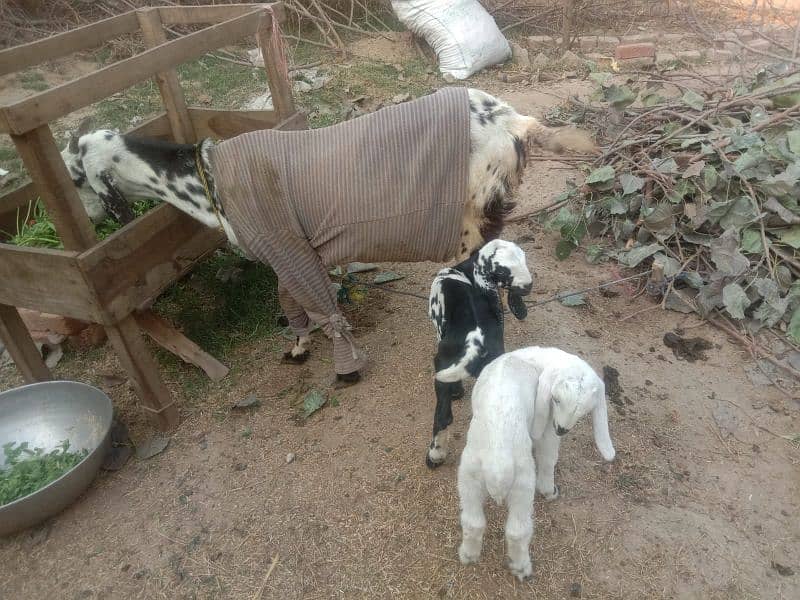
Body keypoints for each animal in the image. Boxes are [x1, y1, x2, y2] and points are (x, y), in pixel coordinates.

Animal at [424, 239, 532, 468]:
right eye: (505, 272)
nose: (528, 285)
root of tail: (477, 344)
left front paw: (457, 392)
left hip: (441, 372)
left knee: (443, 418)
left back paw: (435, 456)